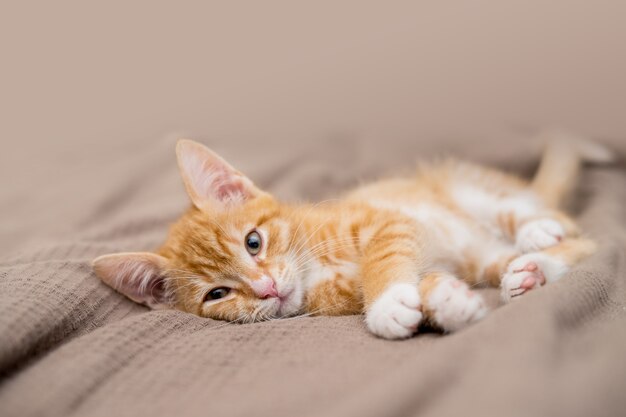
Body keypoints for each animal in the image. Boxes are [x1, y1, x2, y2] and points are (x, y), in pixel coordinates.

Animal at [91, 133, 608, 338]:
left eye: (254, 242)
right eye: (217, 294)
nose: (266, 287)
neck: (314, 265)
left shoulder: (388, 221)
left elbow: (385, 258)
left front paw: (386, 305)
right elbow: (423, 279)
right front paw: (445, 303)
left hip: (470, 191)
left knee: (563, 227)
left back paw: (537, 232)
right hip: (479, 256)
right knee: (564, 248)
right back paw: (528, 273)